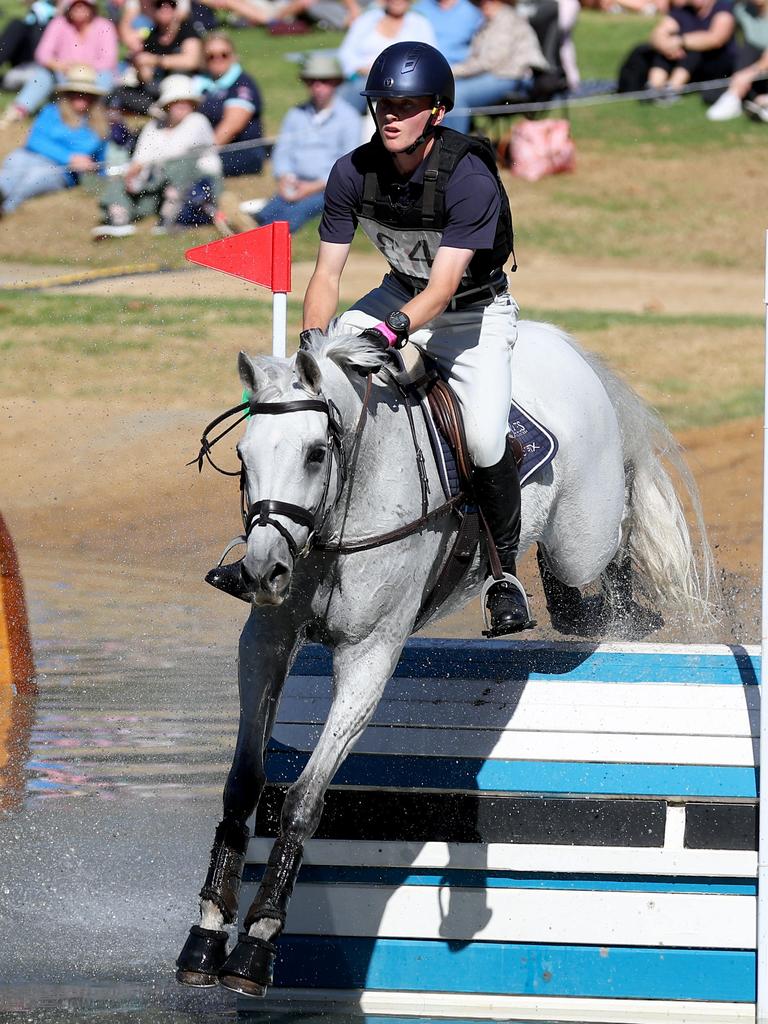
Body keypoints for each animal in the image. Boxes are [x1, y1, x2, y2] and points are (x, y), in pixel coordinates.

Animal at [177, 321, 720, 999]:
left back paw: (621, 610)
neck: (340, 513)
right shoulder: (266, 640)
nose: (262, 570)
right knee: (574, 602)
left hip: (584, 534)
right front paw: (205, 934)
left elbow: (303, 799)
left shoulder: (369, 655)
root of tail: (560, 343)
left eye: (315, 454)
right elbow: (243, 784)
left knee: (611, 545)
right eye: (244, 456)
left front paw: (257, 945)